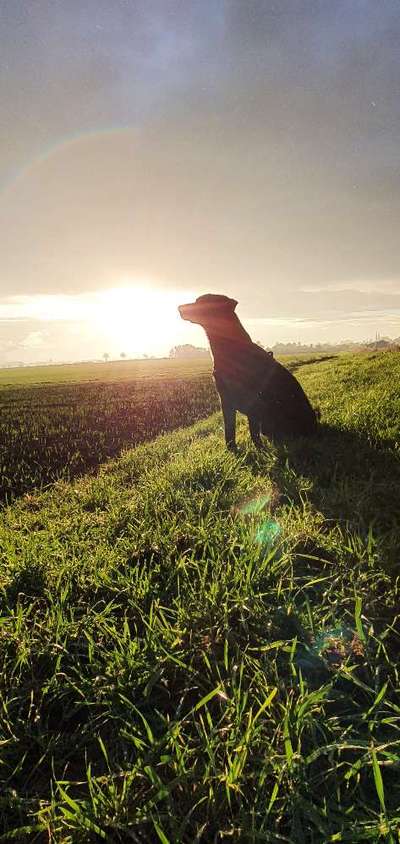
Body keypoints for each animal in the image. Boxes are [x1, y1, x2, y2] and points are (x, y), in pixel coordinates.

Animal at [178, 294, 318, 448]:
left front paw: (259, 448)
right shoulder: (225, 398)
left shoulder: (251, 399)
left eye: (201, 302)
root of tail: (314, 423)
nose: (179, 307)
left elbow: (252, 430)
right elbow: (229, 429)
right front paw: (232, 449)